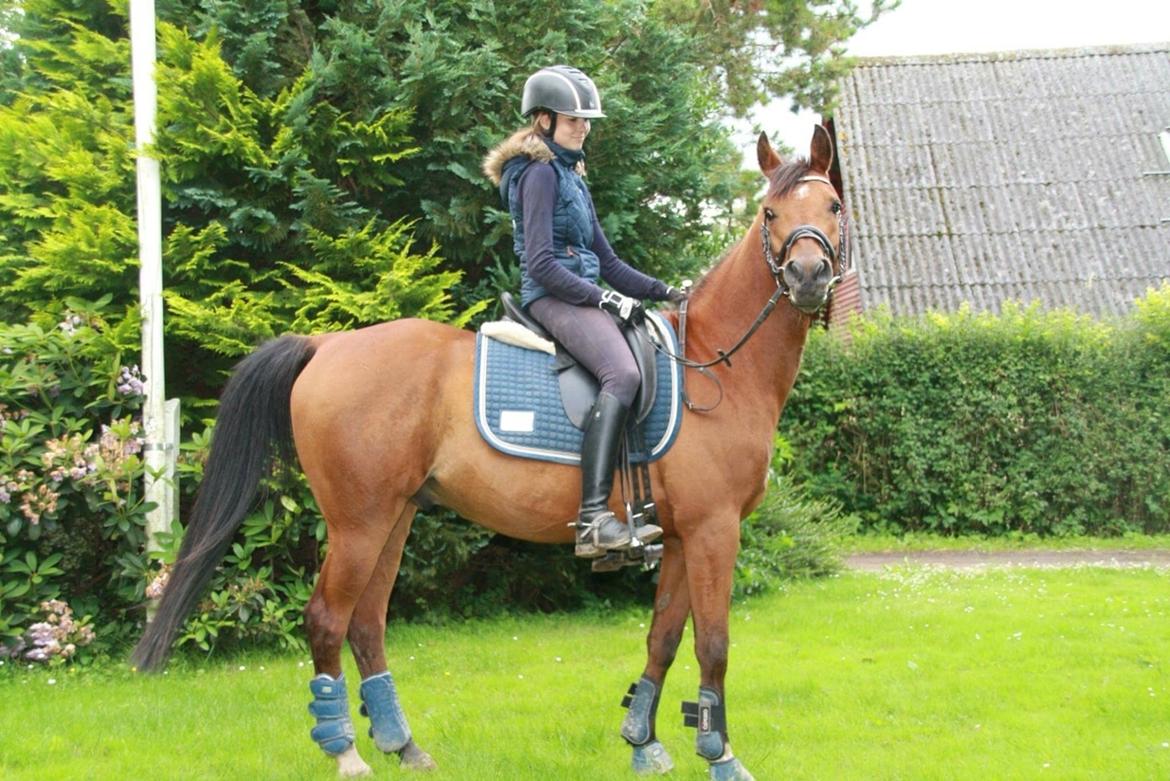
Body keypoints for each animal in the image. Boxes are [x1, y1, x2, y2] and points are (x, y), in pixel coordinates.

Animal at [133, 126, 846, 781]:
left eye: (834, 206)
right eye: (770, 214)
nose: (808, 276)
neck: (713, 363)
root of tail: (325, 343)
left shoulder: (679, 534)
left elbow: (664, 637)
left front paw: (642, 742)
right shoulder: (713, 529)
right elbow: (714, 644)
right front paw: (721, 756)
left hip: (393, 517)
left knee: (367, 623)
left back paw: (402, 745)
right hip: (358, 522)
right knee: (327, 619)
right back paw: (346, 754)